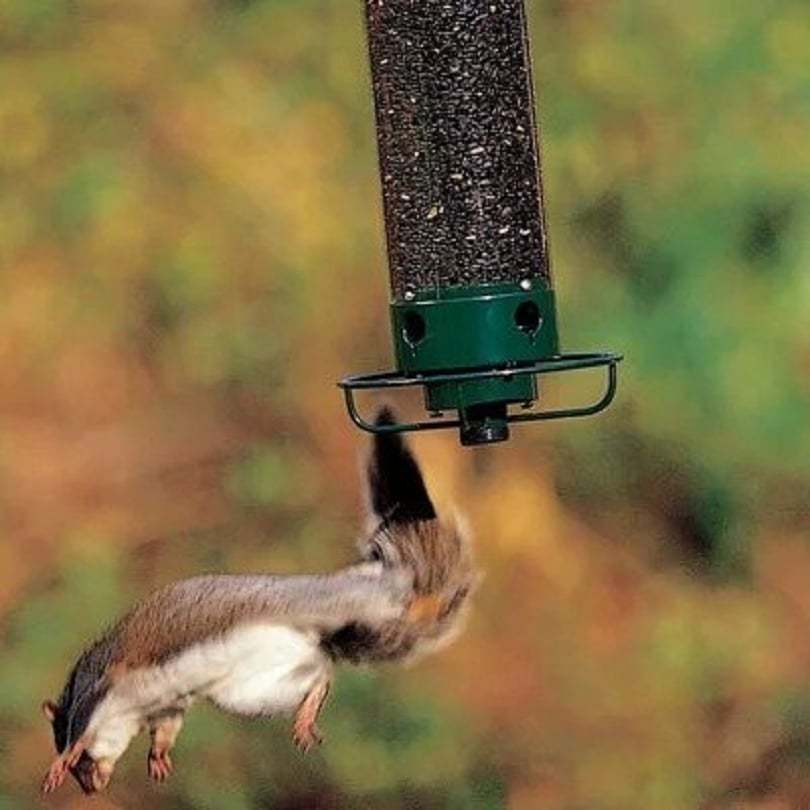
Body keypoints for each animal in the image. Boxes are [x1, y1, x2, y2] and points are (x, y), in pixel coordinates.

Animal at [41, 408, 478, 795]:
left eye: (82, 765)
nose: (91, 790)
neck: (129, 711)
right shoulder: (166, 707)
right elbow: (166, 730)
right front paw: (158, 757)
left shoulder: (105, 684)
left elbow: (83, 729)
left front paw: (64, 760)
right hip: (254, 689)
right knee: (321, 674)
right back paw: (308, 710)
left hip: (352, 603)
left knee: (389, 607)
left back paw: (419, 602)